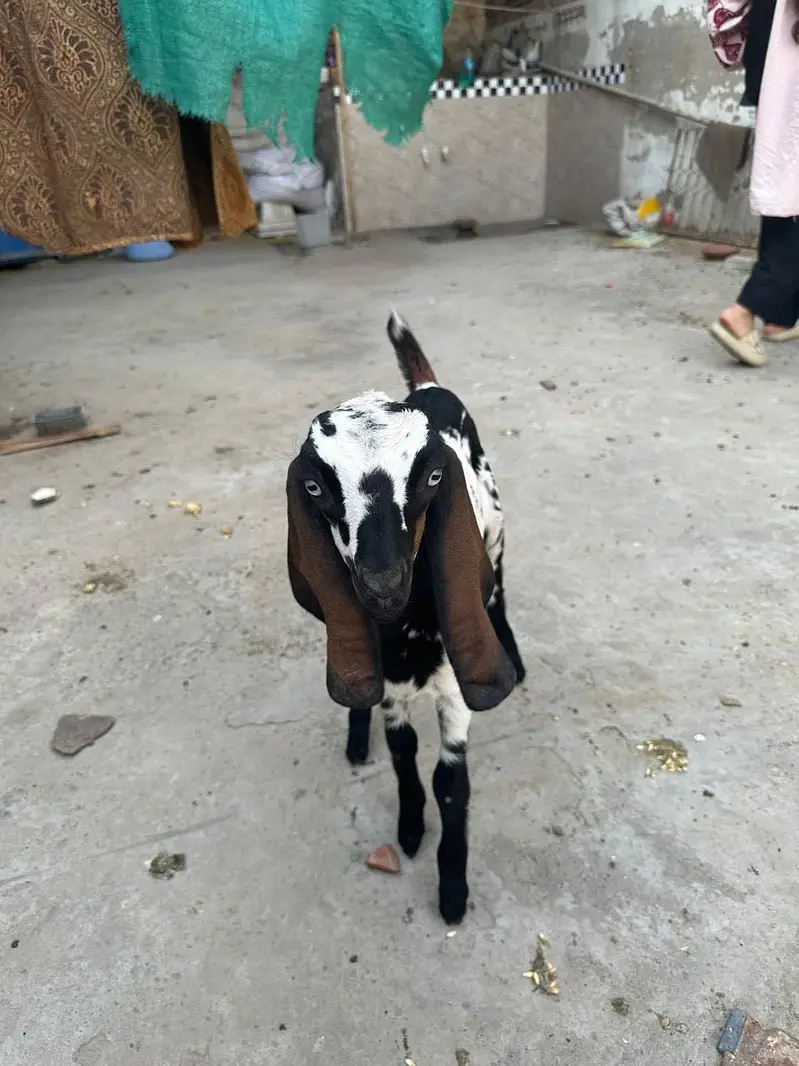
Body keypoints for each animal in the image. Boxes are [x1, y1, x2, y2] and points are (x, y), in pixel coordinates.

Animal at [286, 312, 526, 924]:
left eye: (434, 478)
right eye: (315, 485)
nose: (383, 585)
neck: (407, 635)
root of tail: (427, 386)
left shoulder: (456, 694)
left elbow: (451, 783)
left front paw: (452, 889)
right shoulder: (392, 692)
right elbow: (401, 757)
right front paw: (411, 827)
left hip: (496, 526)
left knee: (499, 585)